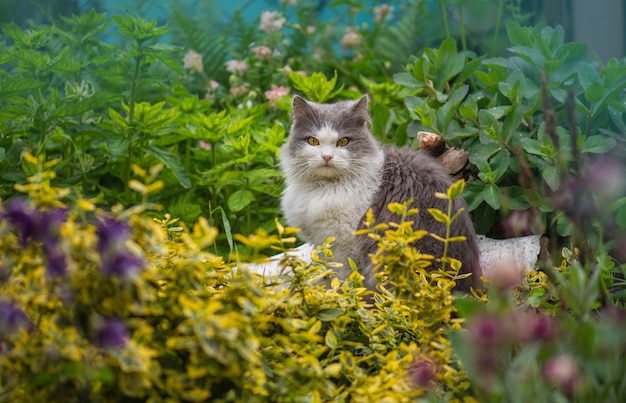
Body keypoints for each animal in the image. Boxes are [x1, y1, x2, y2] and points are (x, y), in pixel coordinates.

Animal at [278, 94, 478, 292]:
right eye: (313, 141)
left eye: (343, 141)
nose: (327, 157)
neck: (324, 187)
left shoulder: (344, 244)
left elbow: (343, 277)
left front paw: (336, 293)